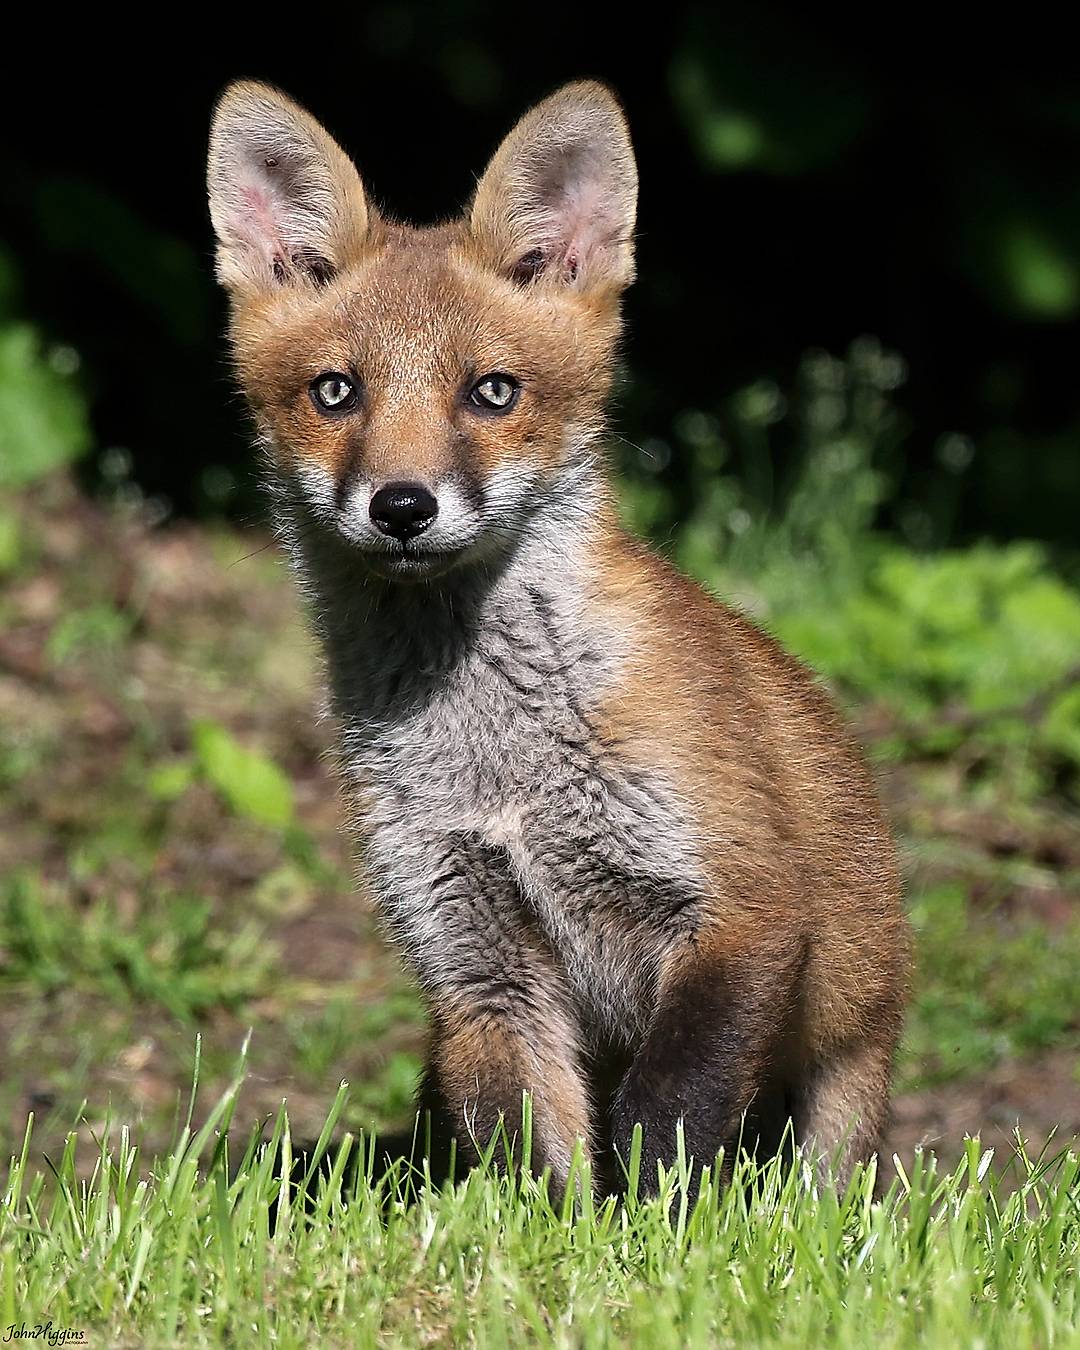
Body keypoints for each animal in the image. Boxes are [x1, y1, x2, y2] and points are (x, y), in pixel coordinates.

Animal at [206, 78, 909, 1195]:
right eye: (335, 391)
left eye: (491, 391)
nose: (403, 507)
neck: (501, 759)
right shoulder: (471, 954)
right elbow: (526, 1161)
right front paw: (556, 1235)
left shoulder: (742, 913)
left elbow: (666, 1119)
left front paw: (657, 1230)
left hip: (846, 1084)